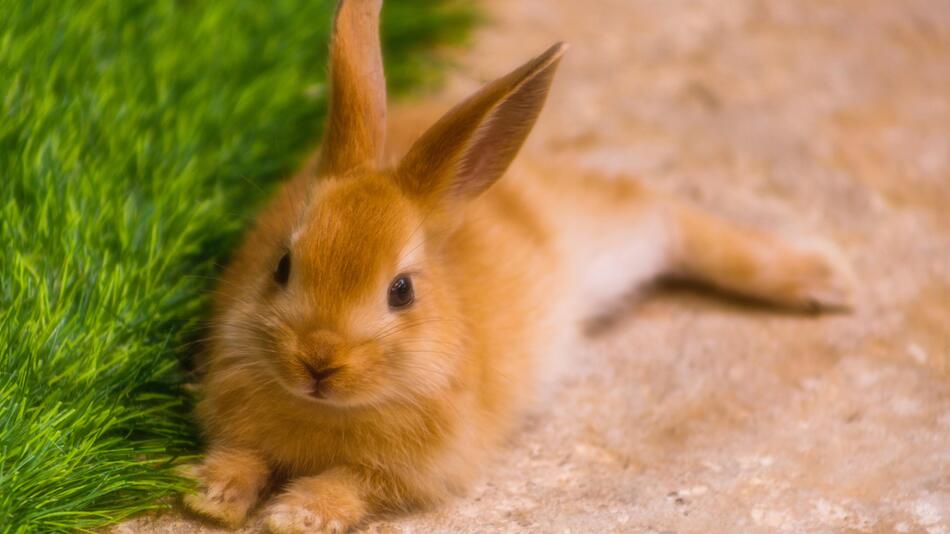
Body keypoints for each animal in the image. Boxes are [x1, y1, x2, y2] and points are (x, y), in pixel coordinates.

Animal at [182, 0, 860, 532]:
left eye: (401, 291)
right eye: (282, 265)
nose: (318, 362)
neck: (326, 408)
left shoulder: (414, 469)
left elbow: (349, 483)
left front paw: (296, 515)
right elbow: (243, 455)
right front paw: (210, 497)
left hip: (608, 242)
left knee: (663, 213)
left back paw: (823, 280)